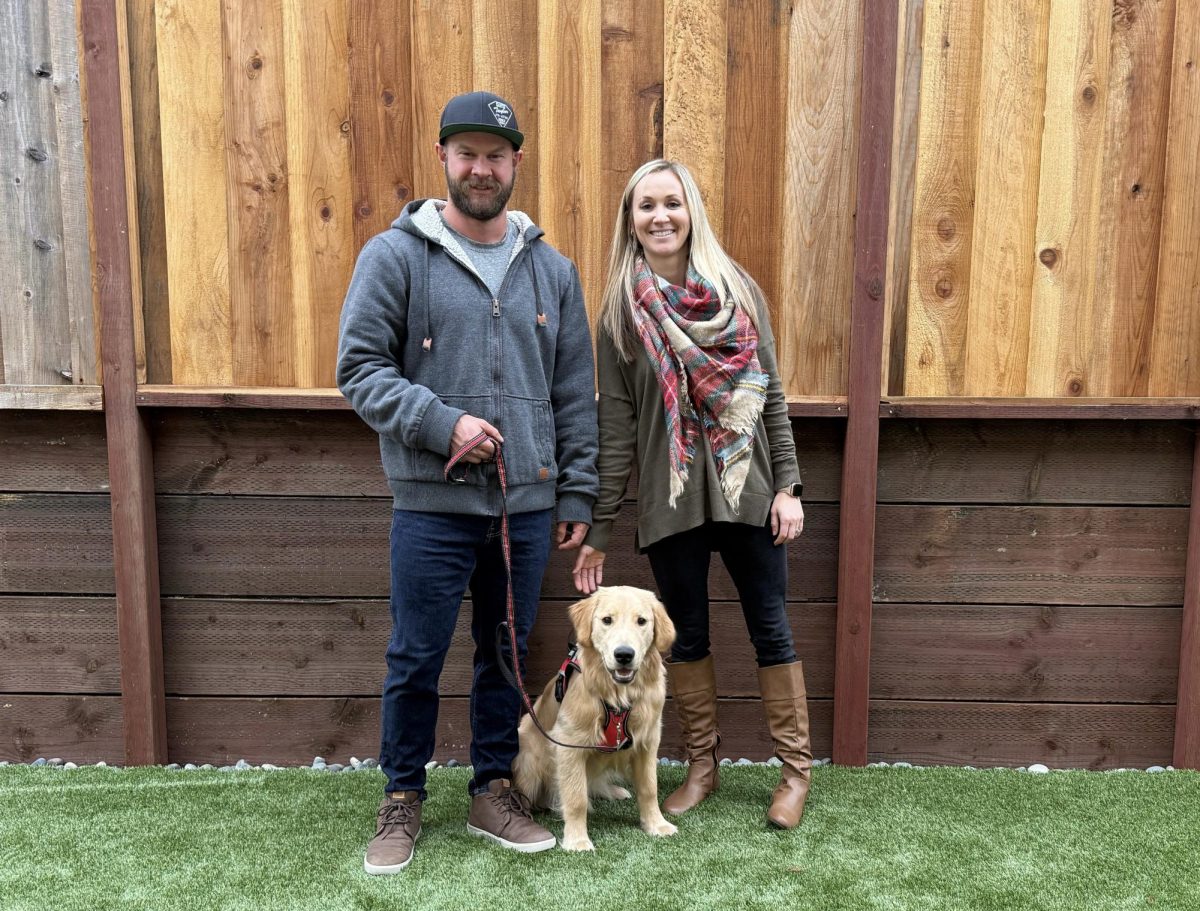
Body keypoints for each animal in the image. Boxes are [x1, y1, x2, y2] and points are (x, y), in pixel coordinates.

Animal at [513, 588, 676, 849]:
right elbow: (576, 798)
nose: (624, 654)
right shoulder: (569, 744)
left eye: (641, 621)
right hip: (530, 759)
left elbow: (650, 788)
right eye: (607, 620)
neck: (618, 695)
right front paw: (577, 840)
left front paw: (656, 825)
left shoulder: (648, 741)